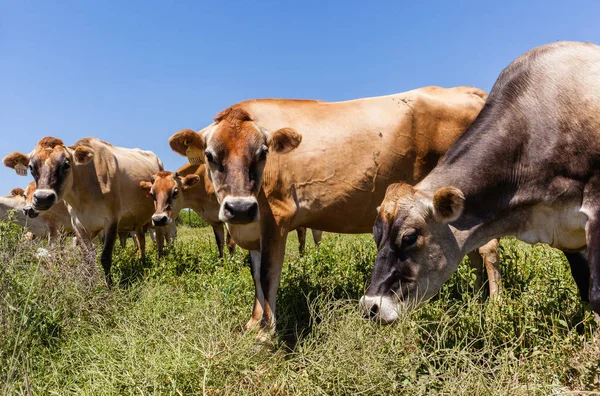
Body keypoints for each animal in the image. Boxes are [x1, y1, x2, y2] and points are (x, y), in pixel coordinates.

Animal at [4, 136, 165, 284]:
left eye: (66, 164)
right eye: (31, 167)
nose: (43, 198)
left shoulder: (112, 221)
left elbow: (105, 257)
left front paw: (109, 287)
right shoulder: (78, 225)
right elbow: (87, 258)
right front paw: (91, 285)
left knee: (159, 239)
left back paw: (160, 259)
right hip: (137, 223)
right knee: (141, 242)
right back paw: (142, 262)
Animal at [166, 85, 500, 332]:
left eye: (262, 153)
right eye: (210, 156)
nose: (239, 208)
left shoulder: (277, 216)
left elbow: (267, 274)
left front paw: (267, 333)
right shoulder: (252, 226)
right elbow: (255, 275)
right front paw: (253, 323)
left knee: (488, 250)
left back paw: (494, 309)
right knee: (471, 251)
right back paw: (475, 300)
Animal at [358, 41, 600, 324]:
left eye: (409, 237)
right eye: (376, 235)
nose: (371, 306)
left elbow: (596, 295)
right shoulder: (566, 233)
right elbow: (586, 291)